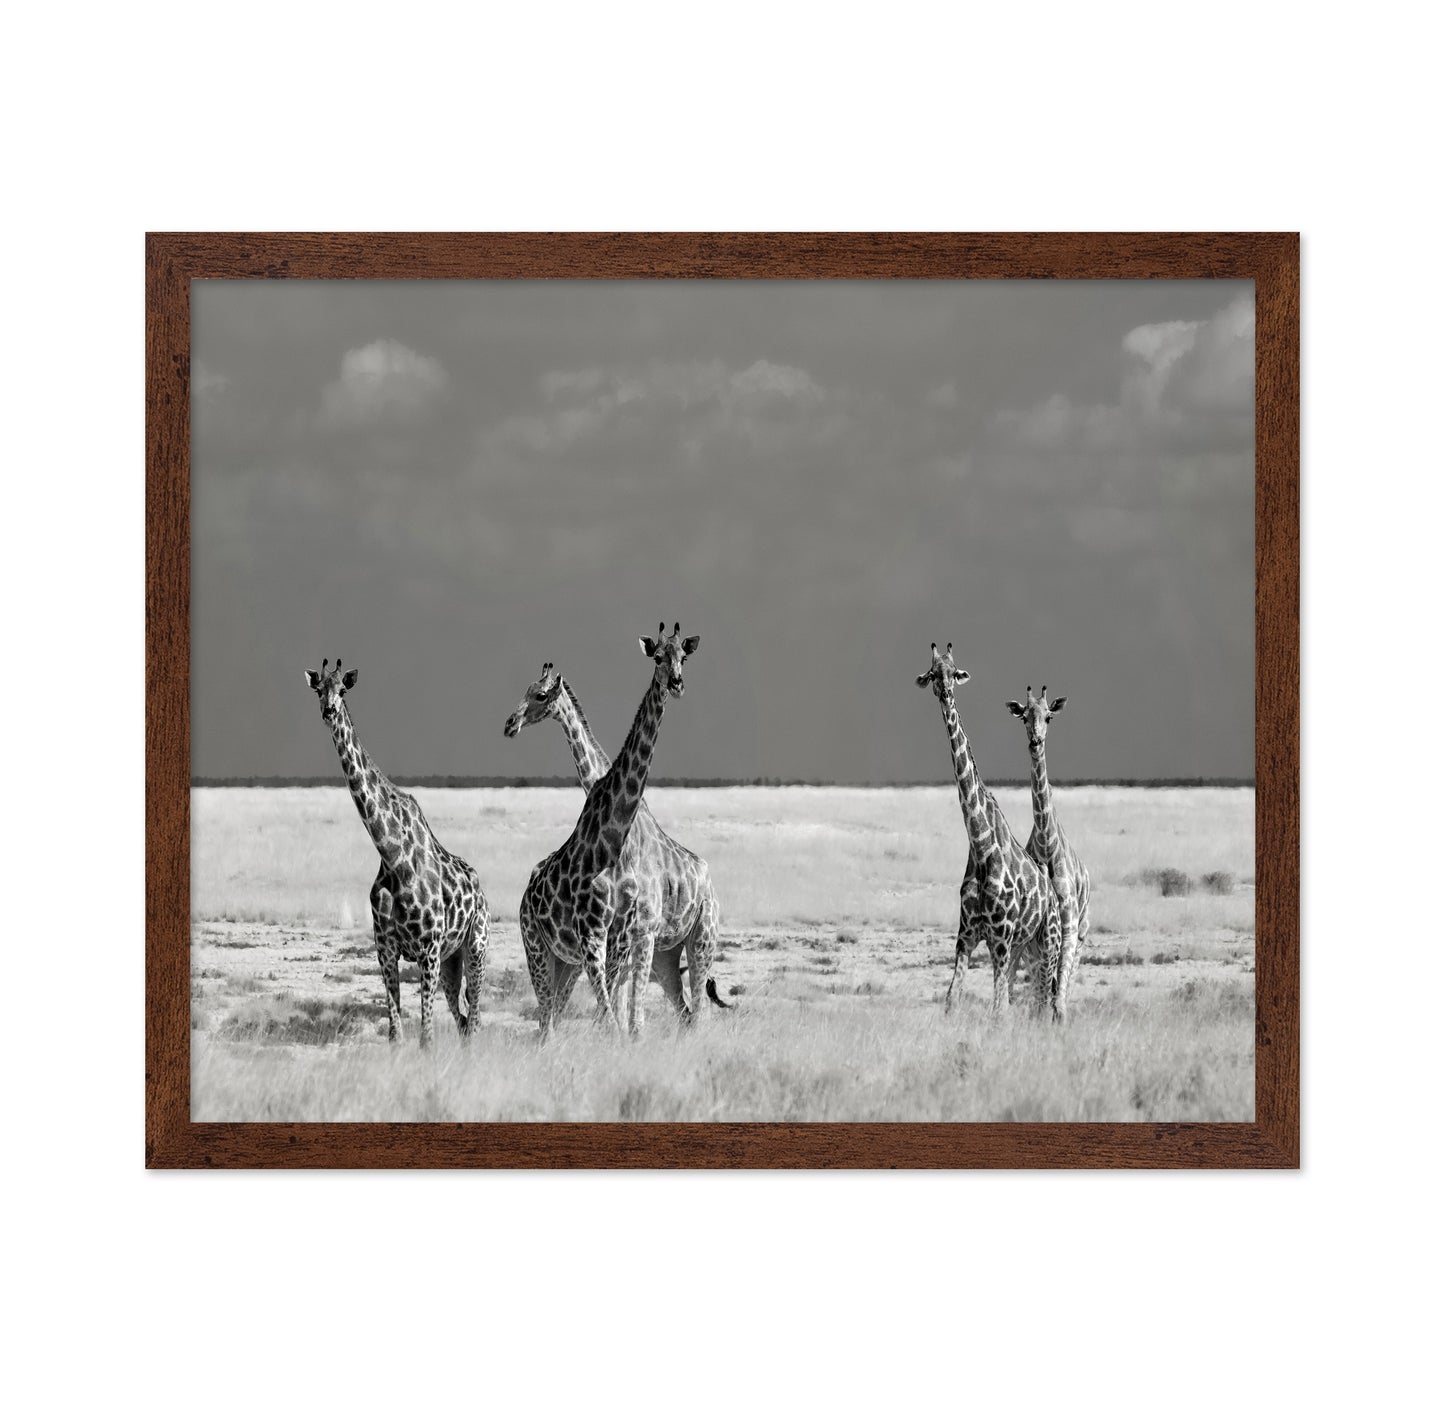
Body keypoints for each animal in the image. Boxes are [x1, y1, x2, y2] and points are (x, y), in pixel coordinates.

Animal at [304, 658, 490, 1047]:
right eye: (318, 690)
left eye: (342, 690)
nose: (329, 711)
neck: (392, 856)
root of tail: (480, 889)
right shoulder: (386, 950)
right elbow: (395, 1033)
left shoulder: (428, 951)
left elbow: (426, 1037)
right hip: (452, 962)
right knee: (464, 1019)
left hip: (475, 947)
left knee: (476, 1018)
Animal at [504, 661, 727, 1022]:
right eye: (527, 690)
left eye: (540, 694)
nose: (511, 724)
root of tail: (708, 876)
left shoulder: (635, 933)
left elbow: (623, 1010)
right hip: (663, 954)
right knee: (682, 1009)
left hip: (700, 935)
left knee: (696, 1009)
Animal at [915, 643, 1062, 1020]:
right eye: (932, 673)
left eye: (955, 672)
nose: (946, 691)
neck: (981, 848)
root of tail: (1054, 895)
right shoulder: (966, 936)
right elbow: (952, 999)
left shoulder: (999, 938)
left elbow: (998, 1011)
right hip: (1023, 945)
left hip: (1048, 941)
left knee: (1048, 998)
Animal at [1007, 684, 1091, 1020]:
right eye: (1023, 717)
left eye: (1049, 717)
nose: (1035, 741)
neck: (1046, 843)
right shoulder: (1035, 937)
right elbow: (1043, 995)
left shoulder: (1068, 929)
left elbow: (1059, 999)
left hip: (1081, 936)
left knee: (1060, 989)